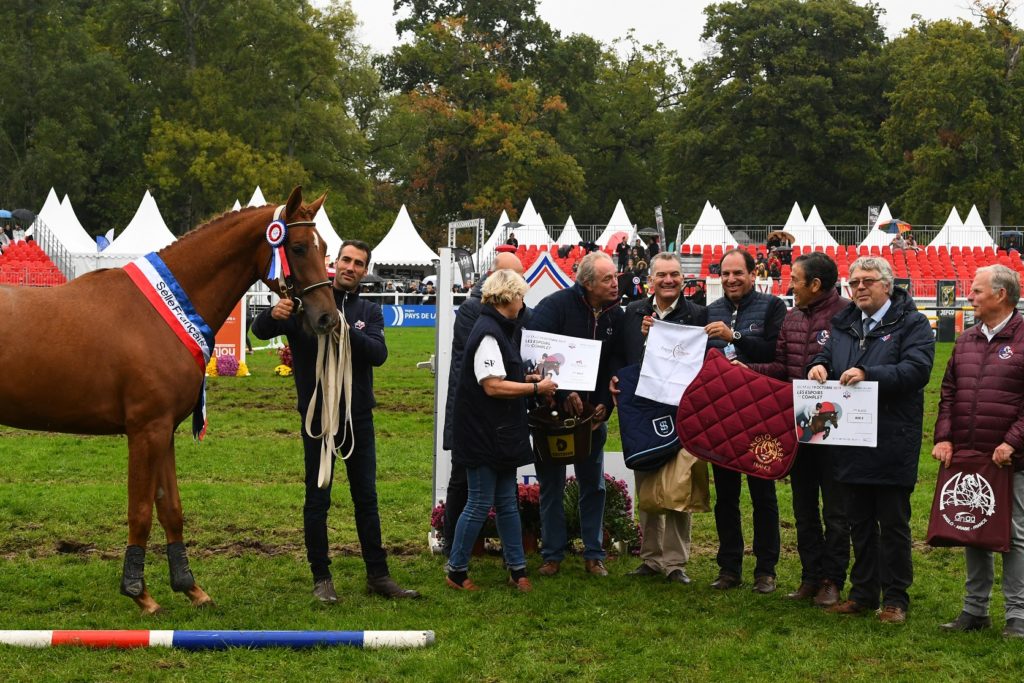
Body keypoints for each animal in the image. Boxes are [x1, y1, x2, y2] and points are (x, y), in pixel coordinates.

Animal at [0, 185, 339, 614]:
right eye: (296, 247)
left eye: (324, 246)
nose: (328, 318)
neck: (157, 314)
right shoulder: (146, 431)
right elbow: (141, 511)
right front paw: (139, 592)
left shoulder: (164, 432)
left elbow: (171, 509)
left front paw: (189, 586)